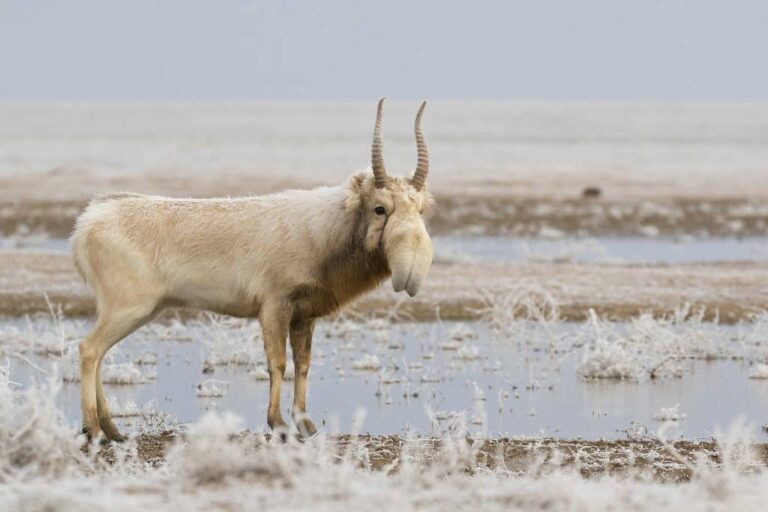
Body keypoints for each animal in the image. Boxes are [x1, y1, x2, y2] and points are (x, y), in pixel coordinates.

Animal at [71, 99, 434, 441]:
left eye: (419, 208)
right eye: (380, 208)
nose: (411, 272)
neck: (324, 228)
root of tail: (86, 224)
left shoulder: (304, 315)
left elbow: (303, 364)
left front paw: (306, 425)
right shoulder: (274, 306)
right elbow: (278, 362)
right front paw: (279, 424)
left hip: (136, 310)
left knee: (99, 353)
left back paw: (113, 431)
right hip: (129, 309)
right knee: (89, 350)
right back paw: (95, 431)